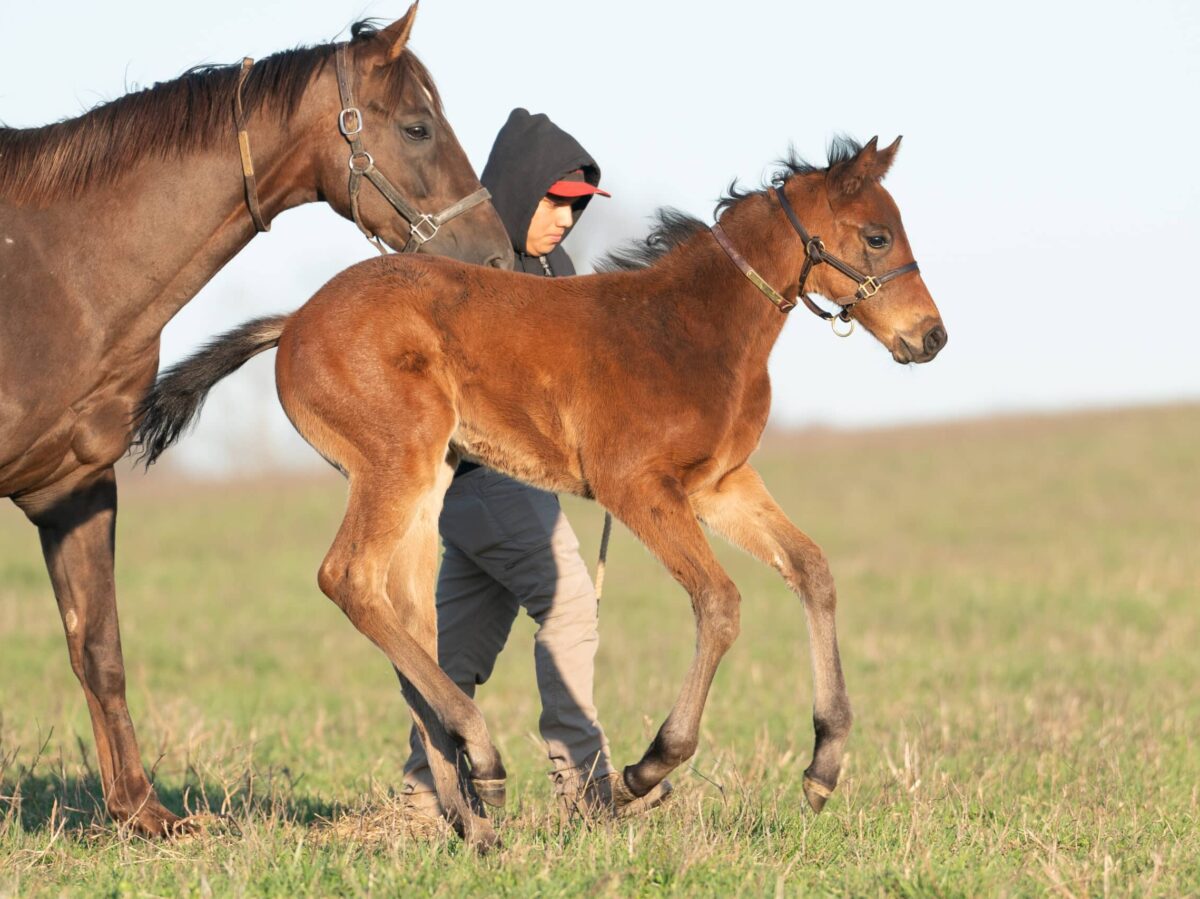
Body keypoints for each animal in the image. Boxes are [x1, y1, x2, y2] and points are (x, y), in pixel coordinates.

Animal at [0, 3, 511, 840]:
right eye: (416, 127)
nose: (496, 259)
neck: (56, 271)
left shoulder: (73, 486)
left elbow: (99, 645)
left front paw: (144, 813)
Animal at [138, 135, 945, 849]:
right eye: (877, 236)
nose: (932, 337)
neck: (690, 329)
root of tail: (296, 322)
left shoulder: (719, 483)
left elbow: (812, 569)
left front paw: (824, 765)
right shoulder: (636, 484)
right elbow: (719, 603)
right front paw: (644, 771)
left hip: (426, 485)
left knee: (410, 622)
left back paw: (474, 821)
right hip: (396, 461)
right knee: (350, 579)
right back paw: (485, 763)